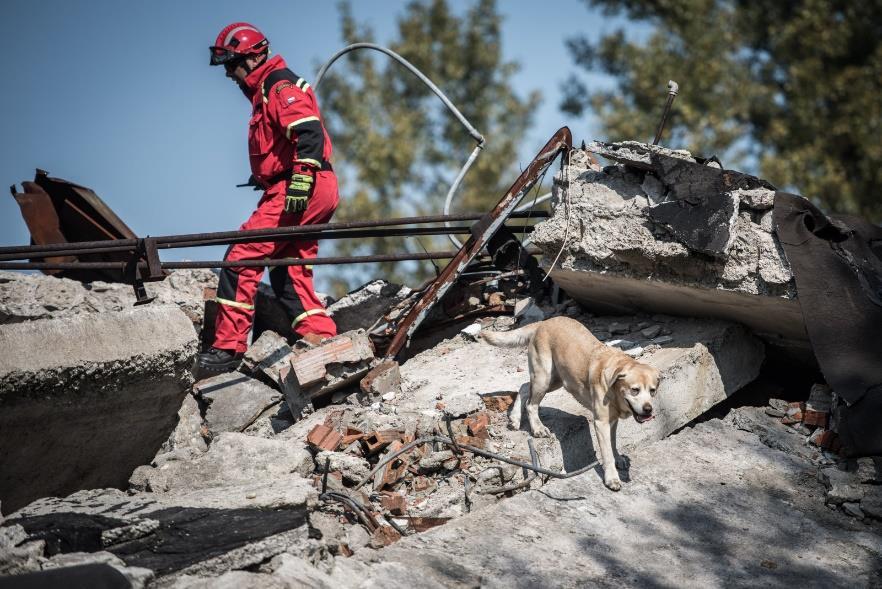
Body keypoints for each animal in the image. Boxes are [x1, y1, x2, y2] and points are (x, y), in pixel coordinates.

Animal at [482, 314, 660, 490]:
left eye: (653, 390)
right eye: (635, 390)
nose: (648, 410)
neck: (614, 386)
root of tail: (543, 322)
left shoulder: (612, 421)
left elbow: (613, 443)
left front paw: (617, 458)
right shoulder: (601, 423)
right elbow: (607, 452)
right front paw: (611, 478)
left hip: (556, 379)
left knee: (524, 387)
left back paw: (515, 418)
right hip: (544, 377)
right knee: (531, 404)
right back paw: (537, 428)